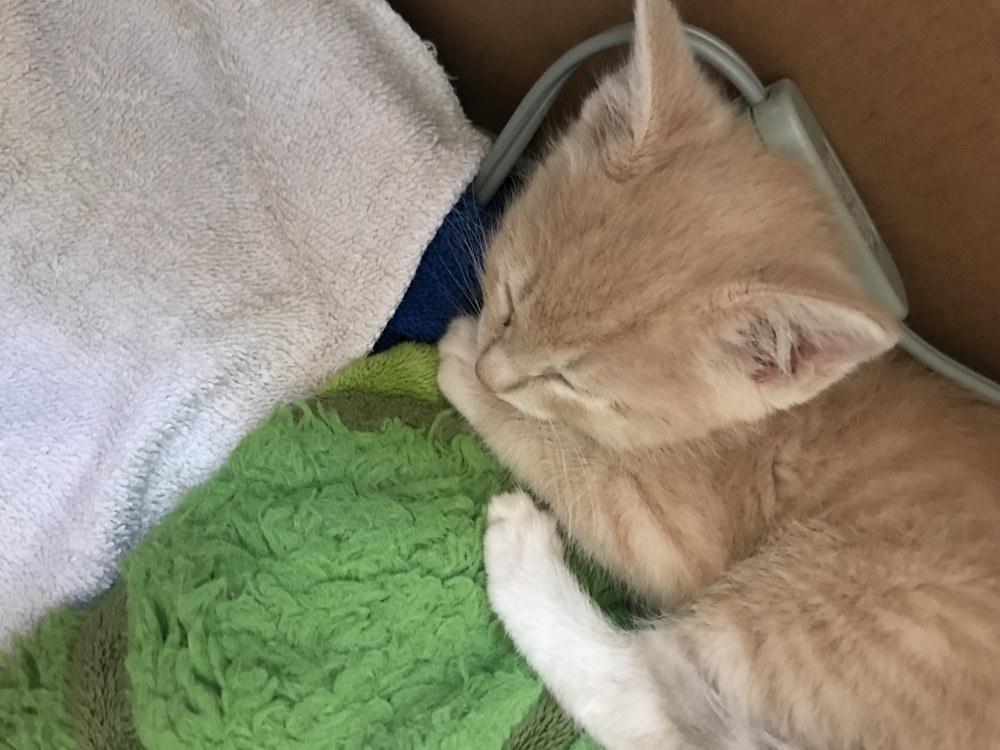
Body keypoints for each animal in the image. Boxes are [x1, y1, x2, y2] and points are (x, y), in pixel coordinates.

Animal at [436, 1, 1000, 748]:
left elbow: (591, 484)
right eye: (509, 299)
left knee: (644, 698)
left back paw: (523, 552)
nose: (488, 367)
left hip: (832, 614)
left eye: (574, 383)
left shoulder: (679, 538)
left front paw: (467, 375)